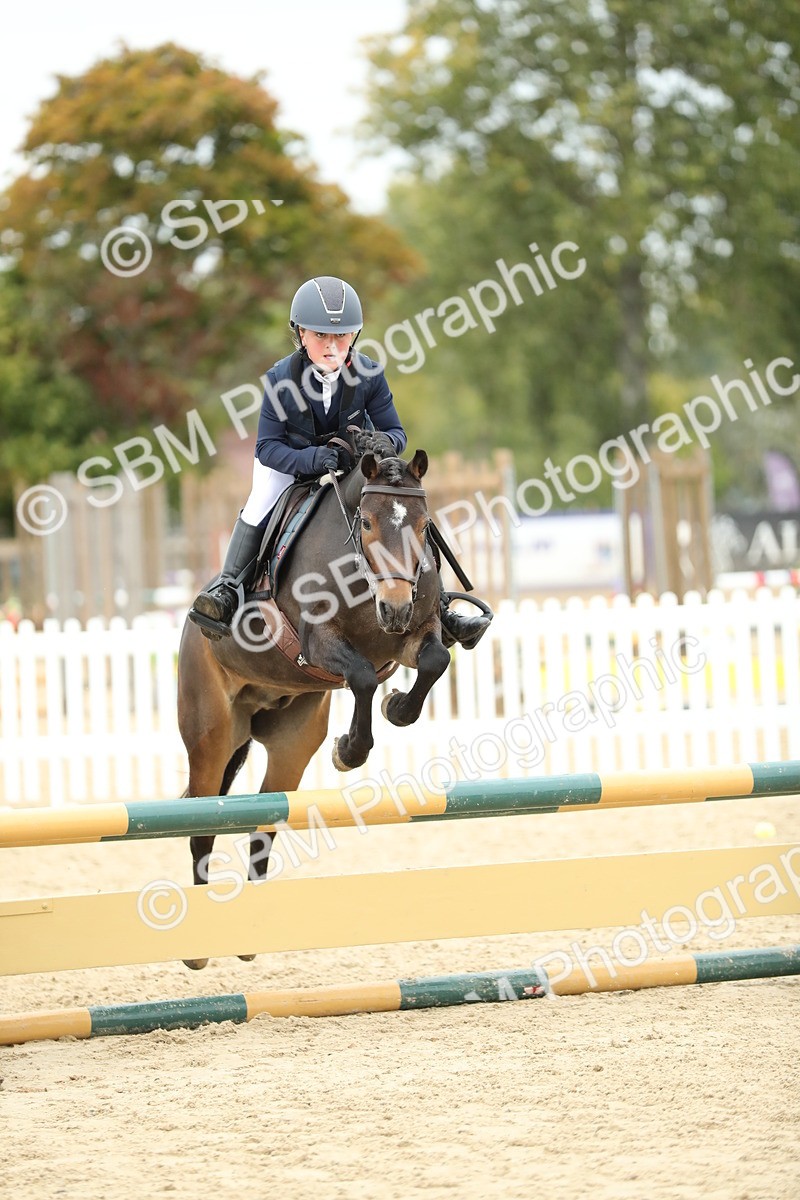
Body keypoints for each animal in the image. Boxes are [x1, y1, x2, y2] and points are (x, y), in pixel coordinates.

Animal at [176, 446, 452, 968]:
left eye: (425, 525)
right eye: (366, 522)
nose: (394, 609)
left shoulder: (415, 632)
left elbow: (435, 659)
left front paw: (397, 708)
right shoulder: (320, 643)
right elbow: (361, 675)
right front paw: (351, 751)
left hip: (292, 740)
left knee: (264, 821)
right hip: (212, 735)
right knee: (203, 821)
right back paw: (200, 947)